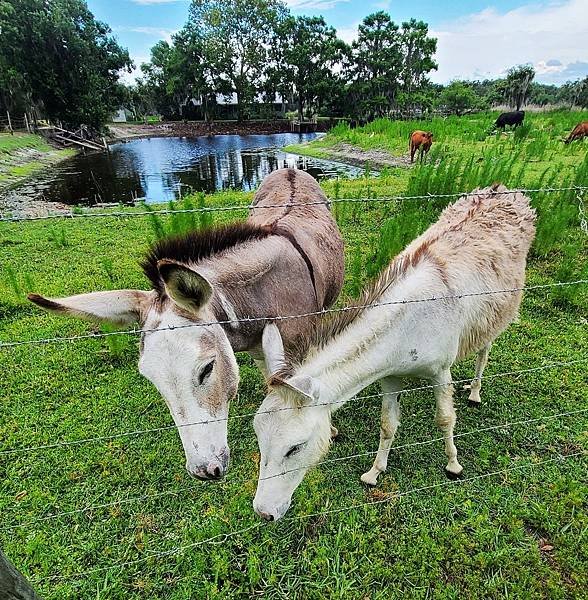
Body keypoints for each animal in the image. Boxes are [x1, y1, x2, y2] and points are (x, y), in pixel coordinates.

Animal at [250, 184, 536, 520]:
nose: (264, 512)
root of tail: (503, 190)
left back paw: (475, 391)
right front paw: (374, 473)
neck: (407, 327)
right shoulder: (390, 375)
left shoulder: (440, 370)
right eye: (258, 436)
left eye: (294, 447)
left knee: (485, 348)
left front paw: (453, 465)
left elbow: (445, 418)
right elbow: (387, 425)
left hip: (502, 308)